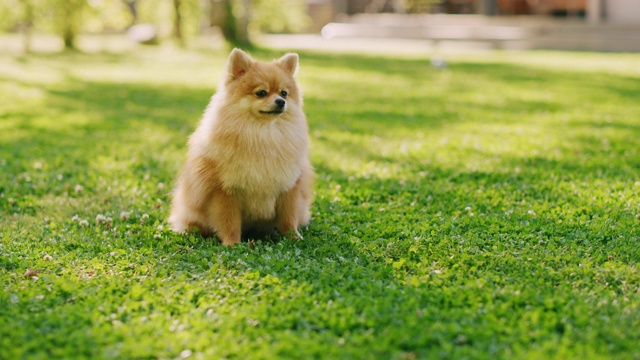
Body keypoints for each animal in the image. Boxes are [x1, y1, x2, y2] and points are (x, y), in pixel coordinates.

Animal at [168, 48, 312, 245]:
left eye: (284, 93)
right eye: (261, 93)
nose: (280, 102)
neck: (263, 134)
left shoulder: (289, 186)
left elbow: (288, 218)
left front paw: (294, 237)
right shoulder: (225, 191)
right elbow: (229, 221)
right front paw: (232, 244)